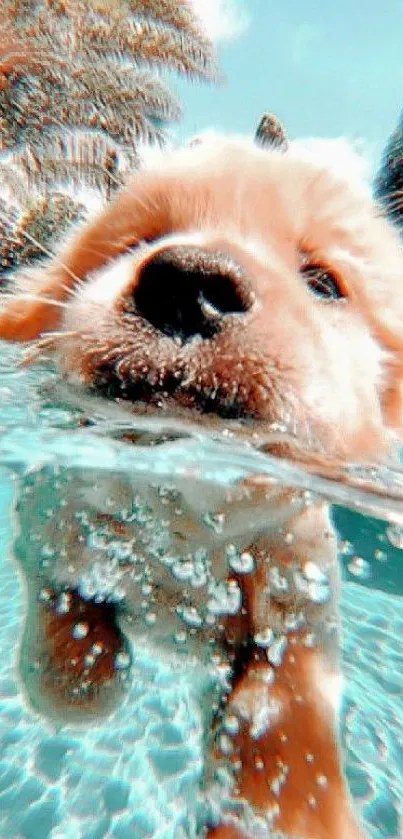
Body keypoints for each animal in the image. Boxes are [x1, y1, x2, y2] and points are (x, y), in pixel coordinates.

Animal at [0, 130, 403, 839]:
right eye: (140, 239)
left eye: (324, 282)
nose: (191, 282)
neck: (188, 512)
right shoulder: (46, 510)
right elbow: (70, 666)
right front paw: (84, 666)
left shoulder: (302, 585)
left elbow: (288, 707)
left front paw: (289, 803)